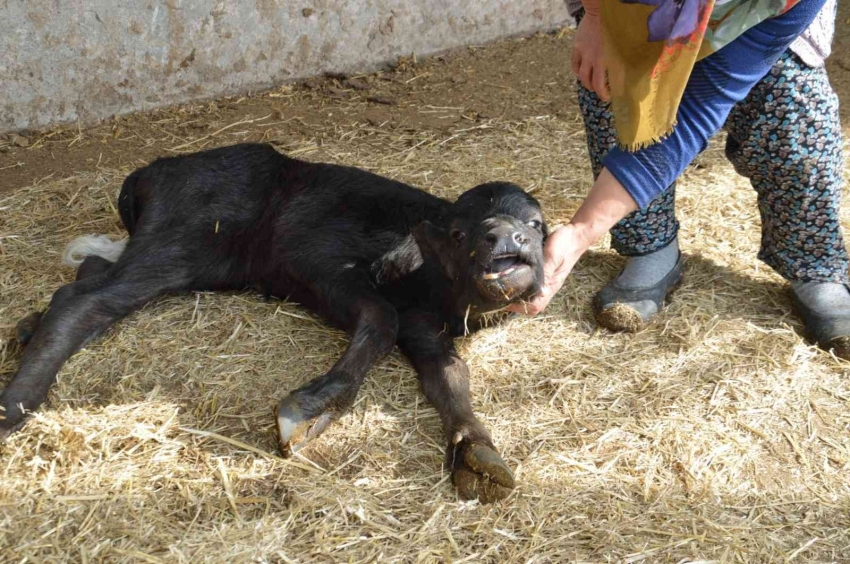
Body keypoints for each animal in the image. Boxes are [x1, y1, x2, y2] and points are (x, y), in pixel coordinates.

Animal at [0, 142, 548, 502]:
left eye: (537, 225)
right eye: (461, 233)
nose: (508, 238)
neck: (434, 286)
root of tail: (149, 173)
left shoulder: (427, 332)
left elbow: (452, 378)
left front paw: (482, 458)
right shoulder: (320, 263)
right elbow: (381, 316)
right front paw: (305, 414)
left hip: (206, 261)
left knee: (87, 277)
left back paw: (25, 329)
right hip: (181, 239)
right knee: (84, 302)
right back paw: (13, 405)